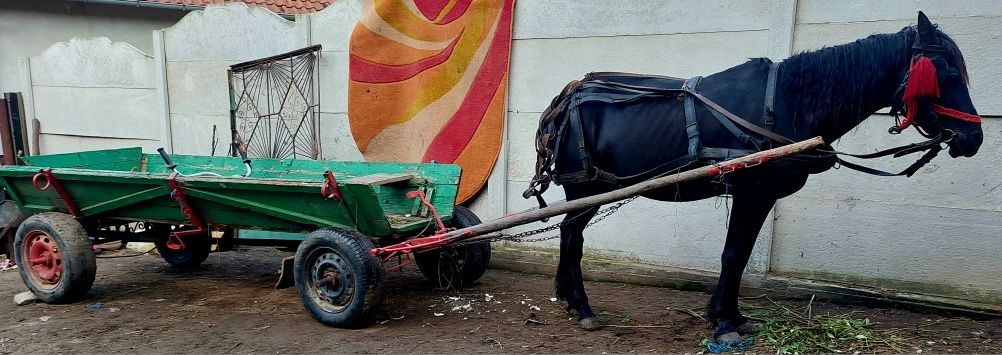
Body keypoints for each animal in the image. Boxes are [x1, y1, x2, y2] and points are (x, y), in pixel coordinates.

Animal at [525, 11, 985, 338]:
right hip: (587, 186)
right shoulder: (753, 193)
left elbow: (740, 256)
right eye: (945, 76)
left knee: (568, 233)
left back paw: (568, 297)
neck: (785, 103)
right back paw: (583, 306)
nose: (974, 138)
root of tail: (566, 98)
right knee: (573, 235)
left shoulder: (759, 198)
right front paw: (725, 323)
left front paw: (730, 315)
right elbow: (734, 254)